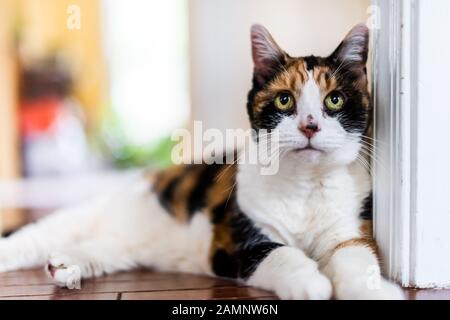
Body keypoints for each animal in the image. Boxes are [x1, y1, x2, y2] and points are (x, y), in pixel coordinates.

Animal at [0, 24, 402, 300]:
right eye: (285, 100)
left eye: (334, 100)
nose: (310, 125)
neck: (304, 188)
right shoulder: (236, 241)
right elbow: (283, 255)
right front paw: (311, 284)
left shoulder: (351, 231)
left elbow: (357, 258)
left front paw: (377, 291)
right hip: (81, 216)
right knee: (31, 238)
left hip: (121, 247)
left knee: (99, 247)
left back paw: (65, 266)